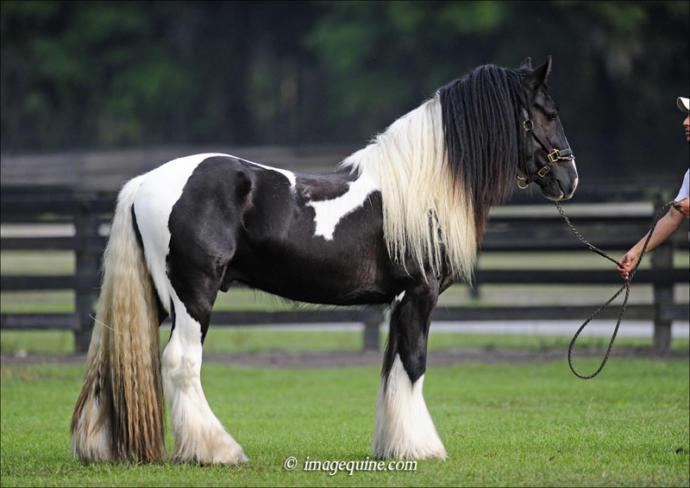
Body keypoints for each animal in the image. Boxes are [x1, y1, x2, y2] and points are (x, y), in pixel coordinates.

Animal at [71, 56, 578, 465]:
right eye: (549, 113)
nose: (569, 178)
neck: (422, 187)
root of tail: (147, 181)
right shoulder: (420, 293)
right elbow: (413, 364)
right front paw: (421, 448)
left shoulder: (398, 301)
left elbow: (392, 367)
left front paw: (393, 446)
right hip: (193, 296)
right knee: (181, 362)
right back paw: (217, 451)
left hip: (159, 297)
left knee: (113, 362)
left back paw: (101, 447)